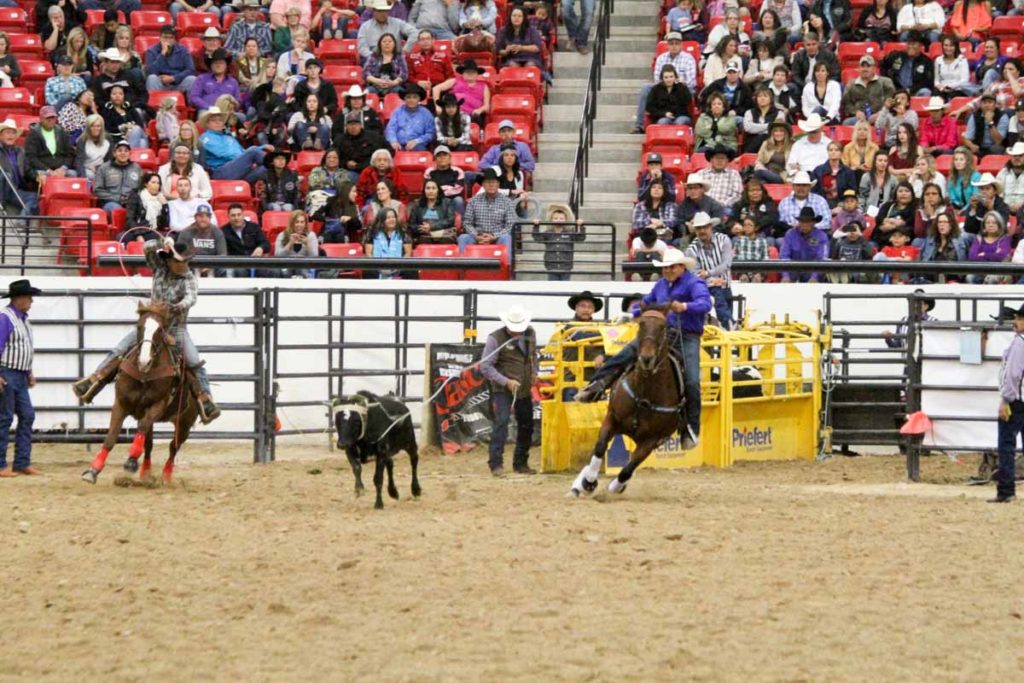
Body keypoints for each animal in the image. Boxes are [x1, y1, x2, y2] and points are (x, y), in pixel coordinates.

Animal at [81, 301, 199, 483]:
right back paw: (145, 472)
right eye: (139, 326)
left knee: (173, 446)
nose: (144, 361)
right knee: (149, 444)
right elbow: (111, 437)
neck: (144, 374)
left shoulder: (158, 405)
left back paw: (165, 476)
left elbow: (142, 427)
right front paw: (93, 470)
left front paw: (131, 462)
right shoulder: (120, 404)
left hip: (184, 422)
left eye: (159, 330)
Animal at [573, 309, 684, 497]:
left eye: (662, 328)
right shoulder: (612, 418)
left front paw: (614, 487)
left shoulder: (651, 440)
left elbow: (629, 468)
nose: (646, 358)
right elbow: (600, 446)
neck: (645, 394)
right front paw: (588, 482)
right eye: (641, 325)